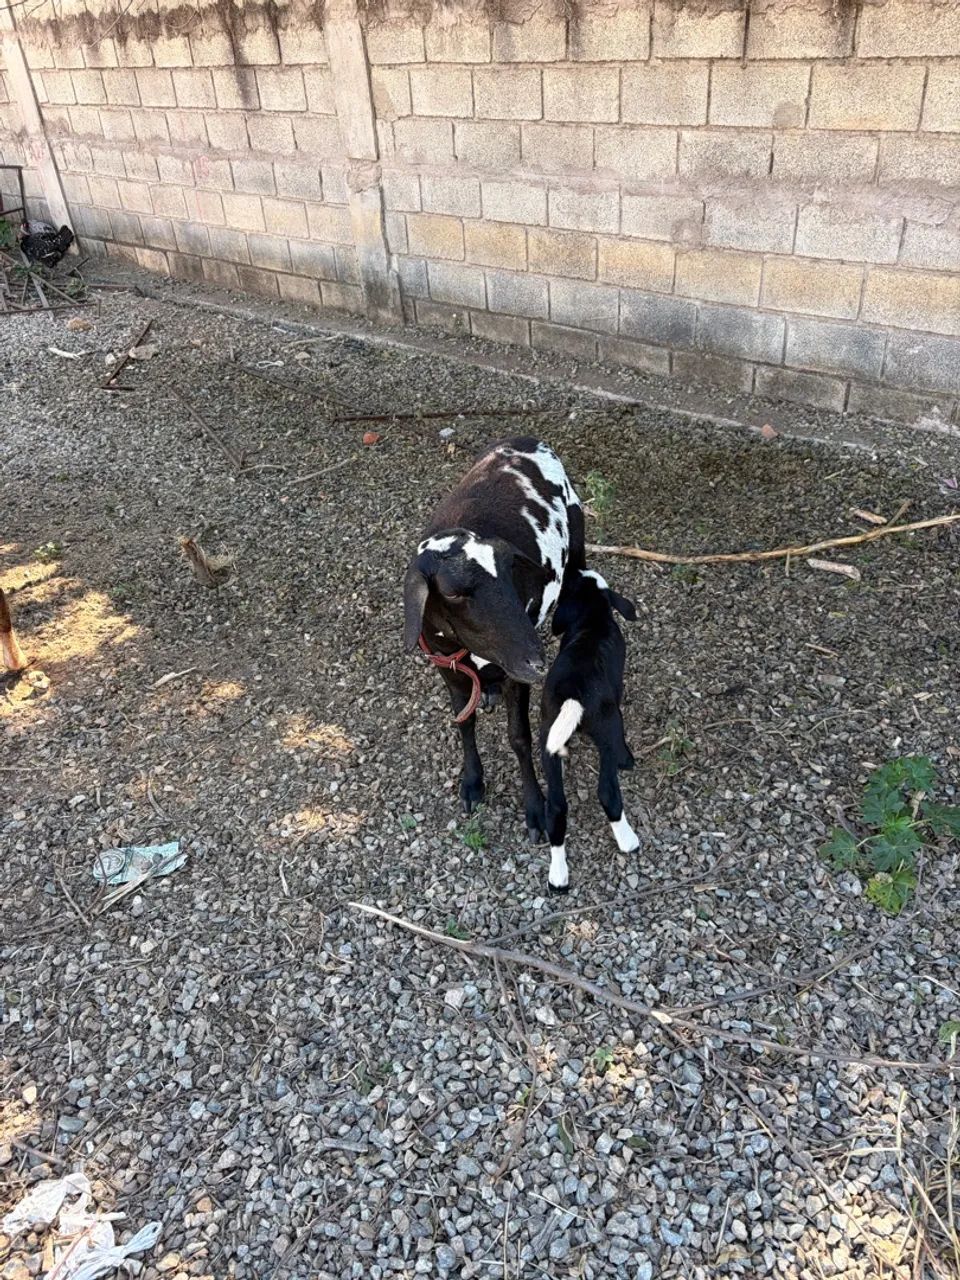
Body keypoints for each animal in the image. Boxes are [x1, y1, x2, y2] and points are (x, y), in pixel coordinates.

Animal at [403, 437, 584, 841]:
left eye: (510, 570)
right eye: (451, 592)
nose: (535, 661)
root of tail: (527, 440)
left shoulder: (515, 677)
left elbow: (519, 737)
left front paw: (536, 810)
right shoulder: (447, 667)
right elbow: (463, 721)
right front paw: (472, 783)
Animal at [539, 568, 639, 892]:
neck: (592, 620)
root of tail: (575, 695)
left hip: (546, 740)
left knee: (556, 808)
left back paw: (558, 876)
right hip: (608, 731)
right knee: (608, 793)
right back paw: (628, 841)